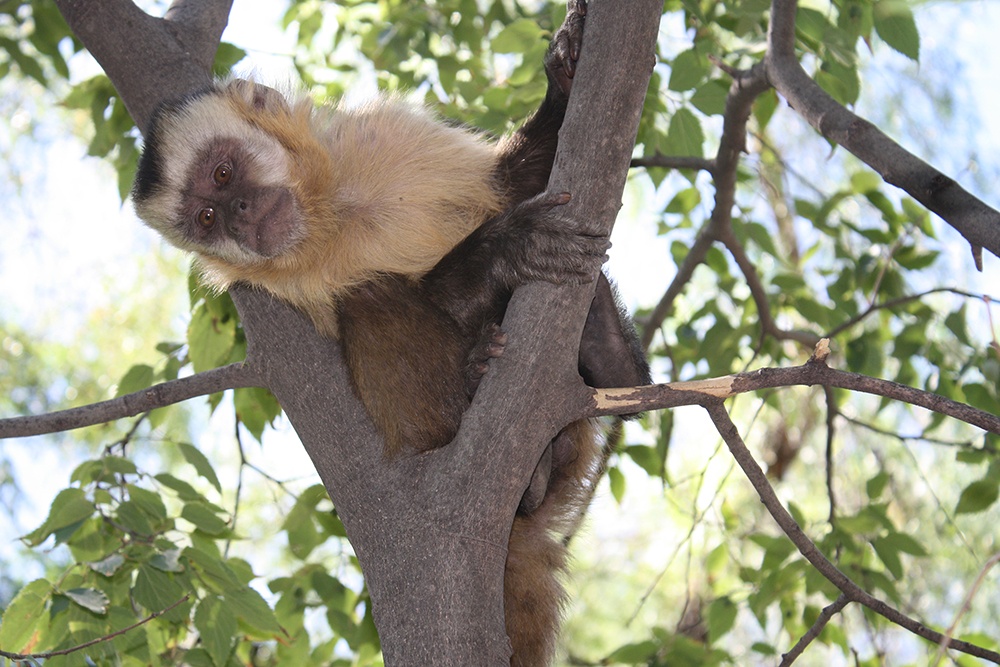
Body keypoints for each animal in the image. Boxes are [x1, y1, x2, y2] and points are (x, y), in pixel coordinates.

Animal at [133, 2, 648, 664]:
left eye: (223, 174)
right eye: (205, 217)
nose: (238, 215)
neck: (334, 212)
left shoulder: (387, 133)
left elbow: (507, 184)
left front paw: (568, 69)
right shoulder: (289, 289)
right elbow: (418, 293)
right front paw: (504, 250)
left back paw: (608, 357)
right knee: (369, 300)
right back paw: (488, 401)